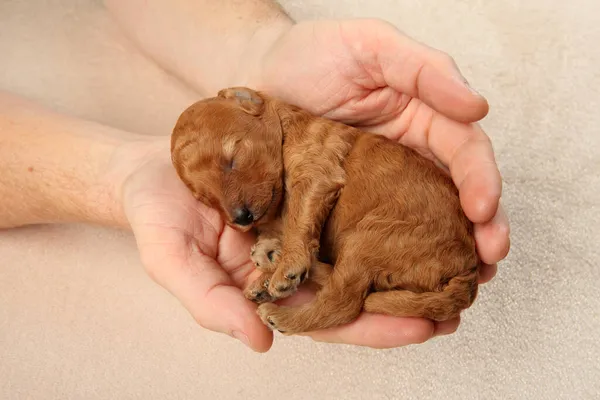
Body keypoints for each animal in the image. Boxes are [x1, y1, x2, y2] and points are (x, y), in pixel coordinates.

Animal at [171, 86, 480, 334]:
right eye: (205, 198)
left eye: (232, 159)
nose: (241, 218)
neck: (288, 129)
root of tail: (469, 269)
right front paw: (274, 254)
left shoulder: (316, 174)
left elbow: (298, 221)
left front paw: (287, 265)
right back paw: (270, 269)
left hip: (372, 237)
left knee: (343, 304)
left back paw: (280, 310)